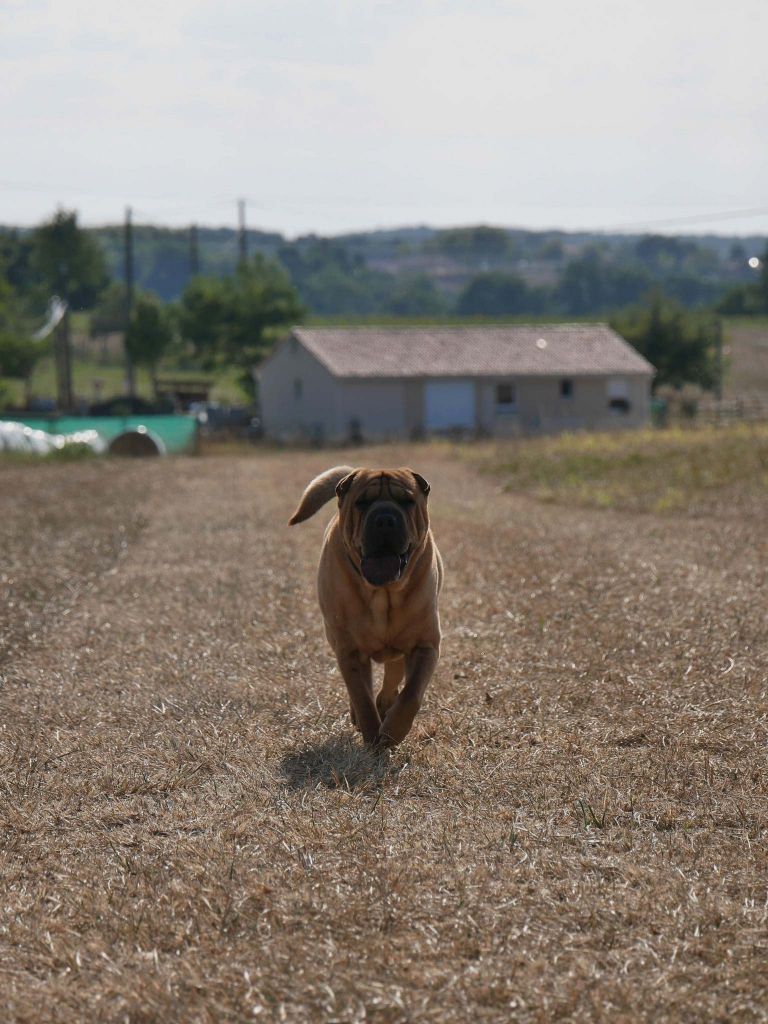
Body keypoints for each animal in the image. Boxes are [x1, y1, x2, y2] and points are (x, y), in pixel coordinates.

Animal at [288, 468, 444, 749]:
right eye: (362, 502)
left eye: (407, 501)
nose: (384, 519)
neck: (383, 594)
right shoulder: (349, 651)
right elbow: (362, 697)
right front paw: (372, 736)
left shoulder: (425, 645)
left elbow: (411, 694)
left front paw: (392, 731)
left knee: (393, 678)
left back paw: (386, 705)